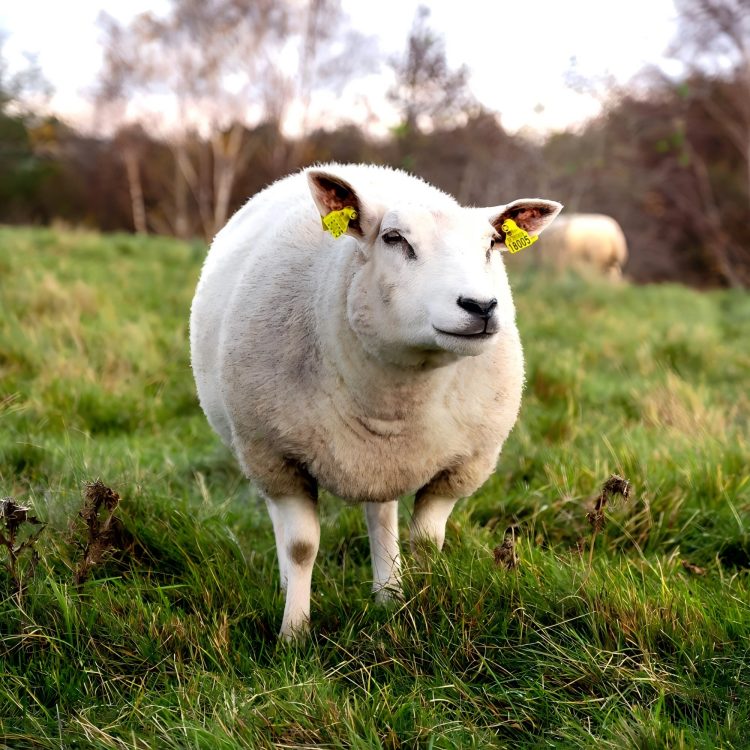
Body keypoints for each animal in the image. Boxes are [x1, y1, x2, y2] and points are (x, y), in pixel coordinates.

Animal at [189, 164, 562, 639]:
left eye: (491, 245)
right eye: (394, 238)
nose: (480, 306)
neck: (396, 395)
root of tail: (369, 170)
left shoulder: (460, 468)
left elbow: (427, 543)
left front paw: (420, 610)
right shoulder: (275, 456)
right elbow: (300, 545)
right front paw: (294, 633)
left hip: (383, 462)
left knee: (380, 515)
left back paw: (388, 594)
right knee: (281, 519)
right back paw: (289, 586)